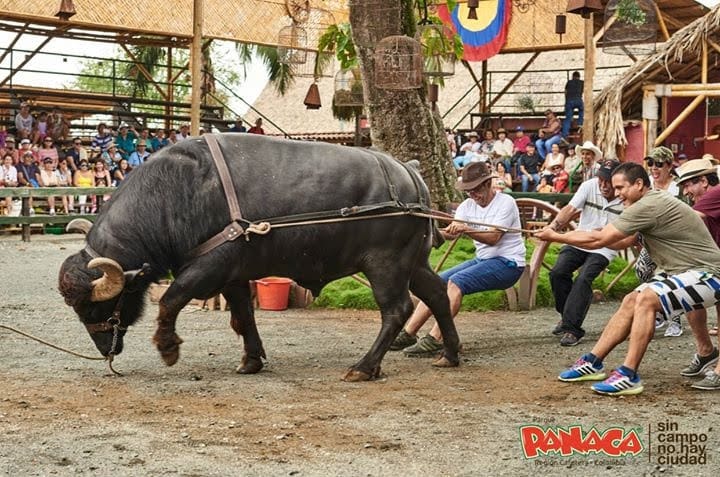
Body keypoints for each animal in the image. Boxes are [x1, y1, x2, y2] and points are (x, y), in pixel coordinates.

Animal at [59, 133, 458, 380]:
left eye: (94, 307)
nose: (105, 349)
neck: (176, 194)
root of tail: (410, 173)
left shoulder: (208, 267)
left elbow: (171, 300)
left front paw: (168, 347)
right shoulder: (234, 276)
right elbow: (243, 318)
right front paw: (251, 360)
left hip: (385, 265)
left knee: (396, 310)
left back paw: (363, 366)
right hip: (414, 263)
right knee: (438, 293)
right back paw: (449, 354)